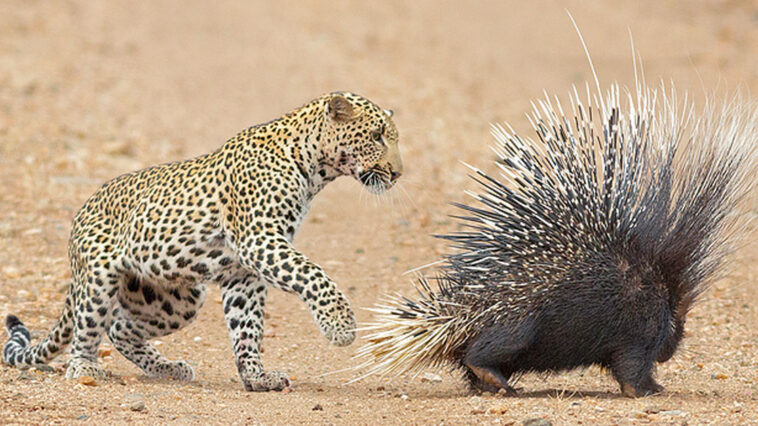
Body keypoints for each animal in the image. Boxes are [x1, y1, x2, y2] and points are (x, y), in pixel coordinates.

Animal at [2, 92, 402, 391]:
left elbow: (247, 326)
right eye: (377, 136)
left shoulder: (244, 271)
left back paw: (168, 369)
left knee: (119, 329)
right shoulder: (260, 241)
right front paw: (341, 325)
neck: (314, 168)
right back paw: (84, 368)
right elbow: (313, 274)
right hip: (99, 279)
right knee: (89, 327)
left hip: (176, 299)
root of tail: (81, 212)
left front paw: (256, 376)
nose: (398, 173)